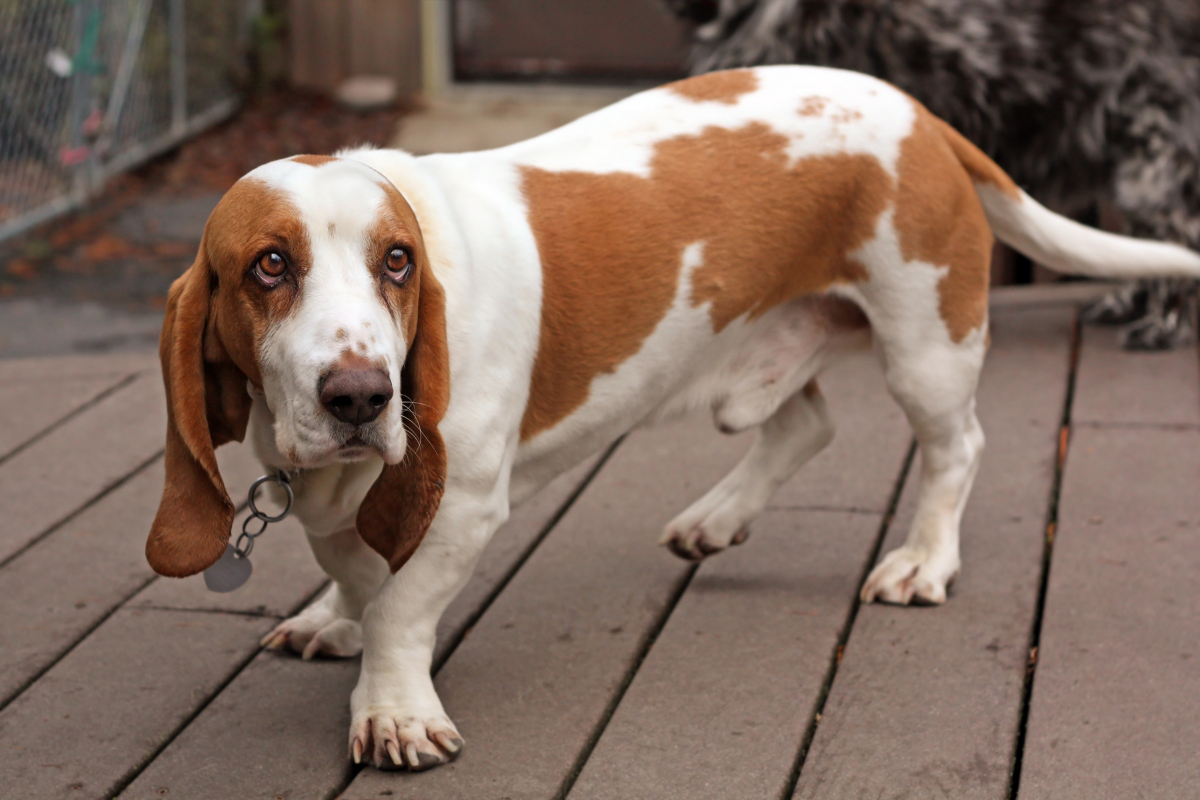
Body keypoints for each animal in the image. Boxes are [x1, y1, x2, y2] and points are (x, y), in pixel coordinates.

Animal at [142, 67, 1200, 767]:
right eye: (268, 267)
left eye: (395, 262)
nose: (360, 395)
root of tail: (919, 113)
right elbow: (356, 568)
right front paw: (336, 617)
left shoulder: (465, 504)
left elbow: (400, 604)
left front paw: (393, 708)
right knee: (805, 424)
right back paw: (714, 521)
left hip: (926, 345)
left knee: (957, 448)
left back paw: (922, 563)